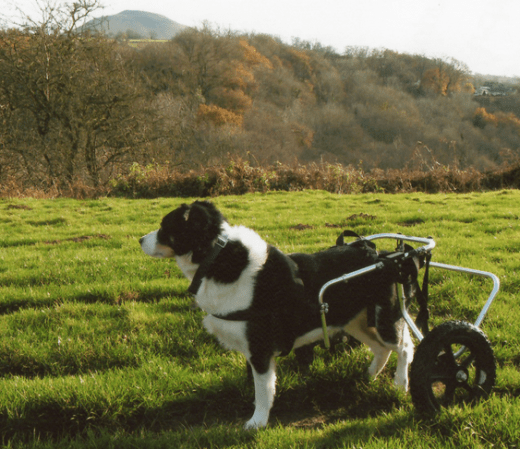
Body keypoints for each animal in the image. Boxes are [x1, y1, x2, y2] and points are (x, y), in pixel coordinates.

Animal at [138, 200, 414, 428]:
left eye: (164, 226)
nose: (140, 239)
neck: (216, 258)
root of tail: (384, 256)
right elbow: (259, 386)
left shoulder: (260, 349)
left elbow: (263, 390)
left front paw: (257, 422)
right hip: (356, 322)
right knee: (381, 349)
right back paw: (368, 377)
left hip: (385, 318)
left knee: (403, 348)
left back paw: (400, 384)